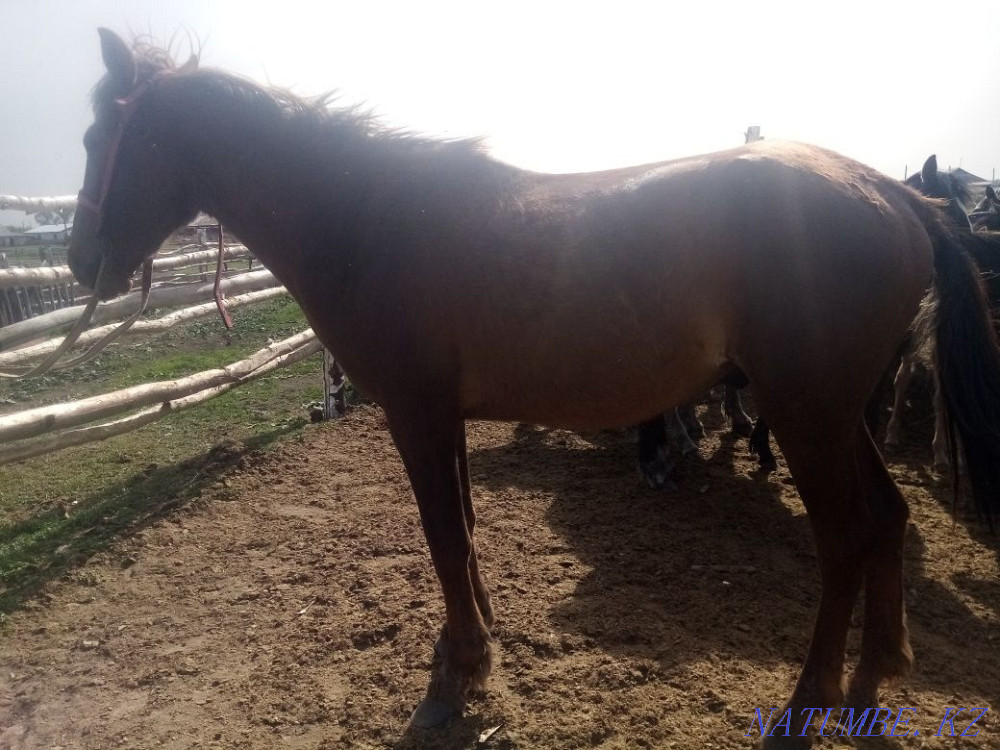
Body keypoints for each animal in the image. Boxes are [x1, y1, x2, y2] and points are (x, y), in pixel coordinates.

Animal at [68, 30, 1000, 746]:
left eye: (99, 137)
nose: (82, 261)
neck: (372, 219)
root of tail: (900, 197)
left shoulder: (415, 413)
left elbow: (445, 536)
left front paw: (458, 677)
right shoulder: (444, 416)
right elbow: (466, 532)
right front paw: (475, 646)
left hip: (807, 415)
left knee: (844, 540)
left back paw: (810, 703)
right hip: (838, 416)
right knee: (887, 520)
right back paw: (874, 679)